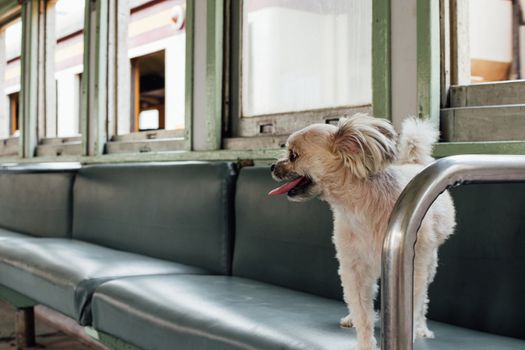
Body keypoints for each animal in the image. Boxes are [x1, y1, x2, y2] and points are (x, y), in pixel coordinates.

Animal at [270, 115, 454, 350]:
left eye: (293, 155)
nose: (272, 166)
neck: (358, 208)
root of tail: (415, 164)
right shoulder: (354, 269)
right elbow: (362, 312)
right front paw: (365, 342)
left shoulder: (413, 271)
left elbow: (414, 306)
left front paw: (412, 331)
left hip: (429, 264)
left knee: (423, 302)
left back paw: (422, 328)